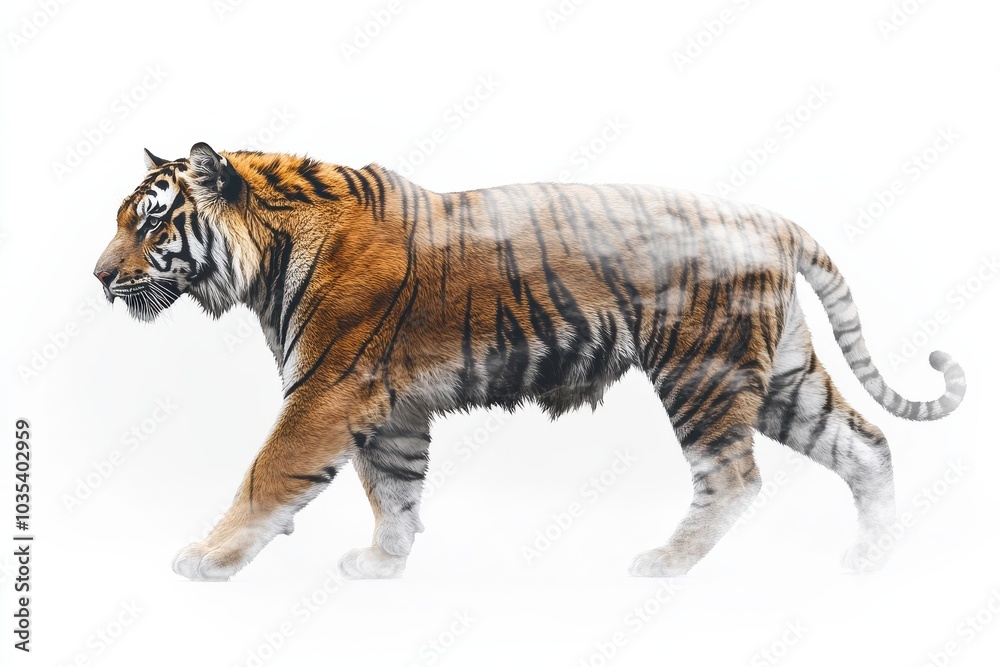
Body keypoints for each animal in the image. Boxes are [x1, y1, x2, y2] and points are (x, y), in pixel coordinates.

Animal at [94, 143, 966, 581]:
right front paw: (383, 563)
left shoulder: (327, 391)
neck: (266, 256)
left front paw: (206, 559)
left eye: (151, 222)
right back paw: (872, 557)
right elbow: (395, 489)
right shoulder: (392, 407)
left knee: (734, 477)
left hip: (703, 371)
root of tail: (767, 216)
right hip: (781, 377)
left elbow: (267, 475)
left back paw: (666, 562)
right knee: (864, 443)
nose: (99, 277)